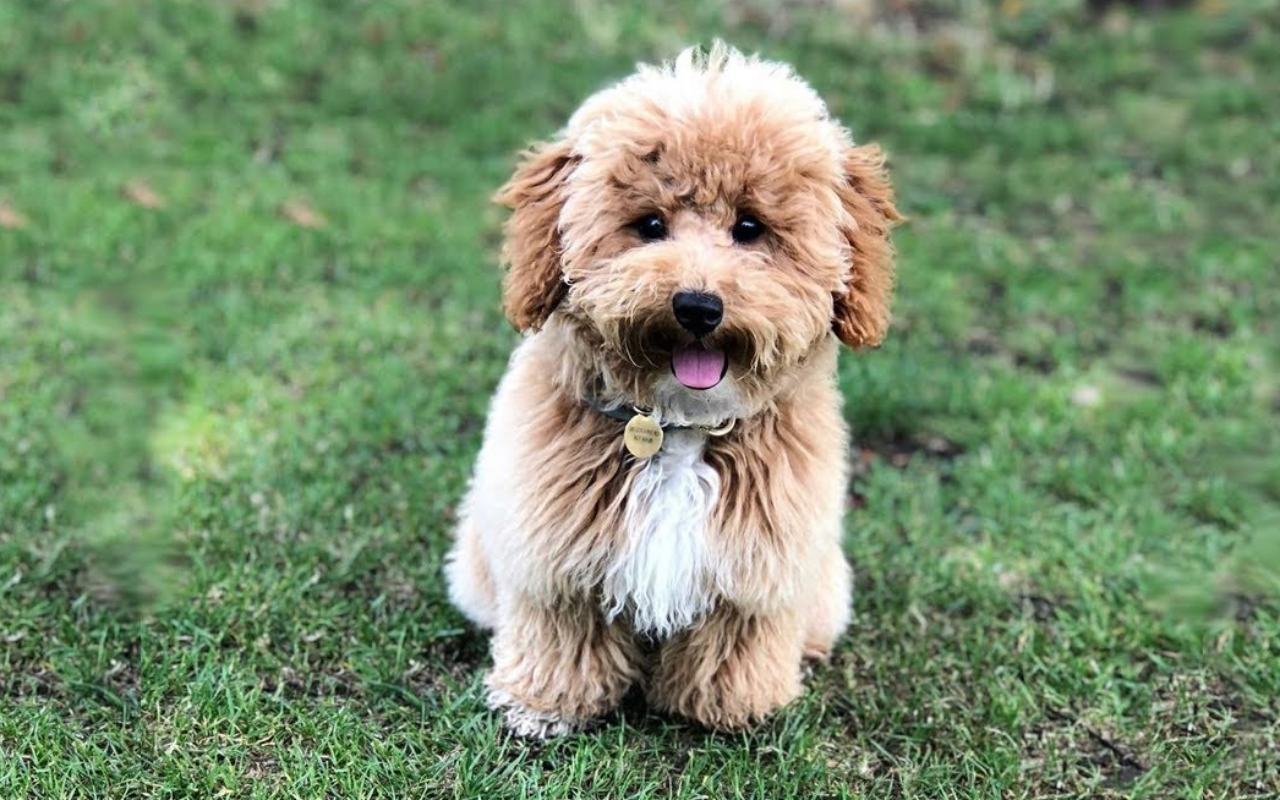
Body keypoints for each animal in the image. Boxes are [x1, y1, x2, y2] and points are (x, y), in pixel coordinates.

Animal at [448, 43, 901, 737]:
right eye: (651, 223)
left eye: (750, 227)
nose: (697, 306)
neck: (680, 426)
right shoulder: (554, 551)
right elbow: (563, 631)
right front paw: (542, 705)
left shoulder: (760, 563)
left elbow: (734, 639)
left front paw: (732, 708)